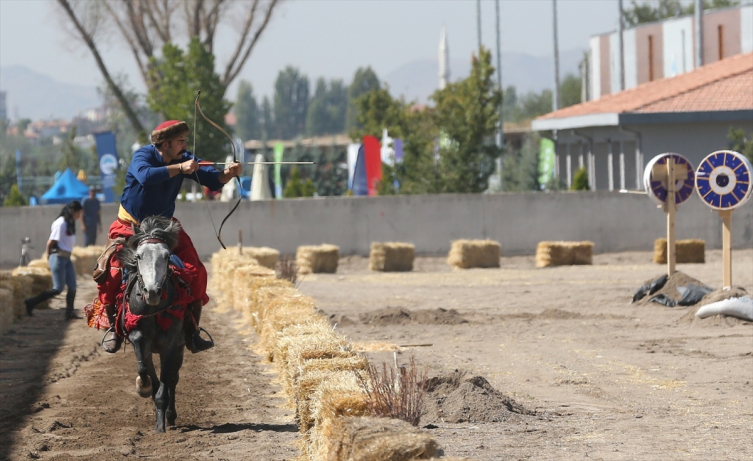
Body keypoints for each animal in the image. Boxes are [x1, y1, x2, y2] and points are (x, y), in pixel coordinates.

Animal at [117, 216, 189, 432]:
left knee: (173, 379)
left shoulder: (171, 345)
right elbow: (146, 371)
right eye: (139, 256)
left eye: (166, 256)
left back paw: (171, 416)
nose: (152, 292)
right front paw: (143, 386)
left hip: (181, 347)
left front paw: (161, 425)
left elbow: (165, 382)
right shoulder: (140, 340)